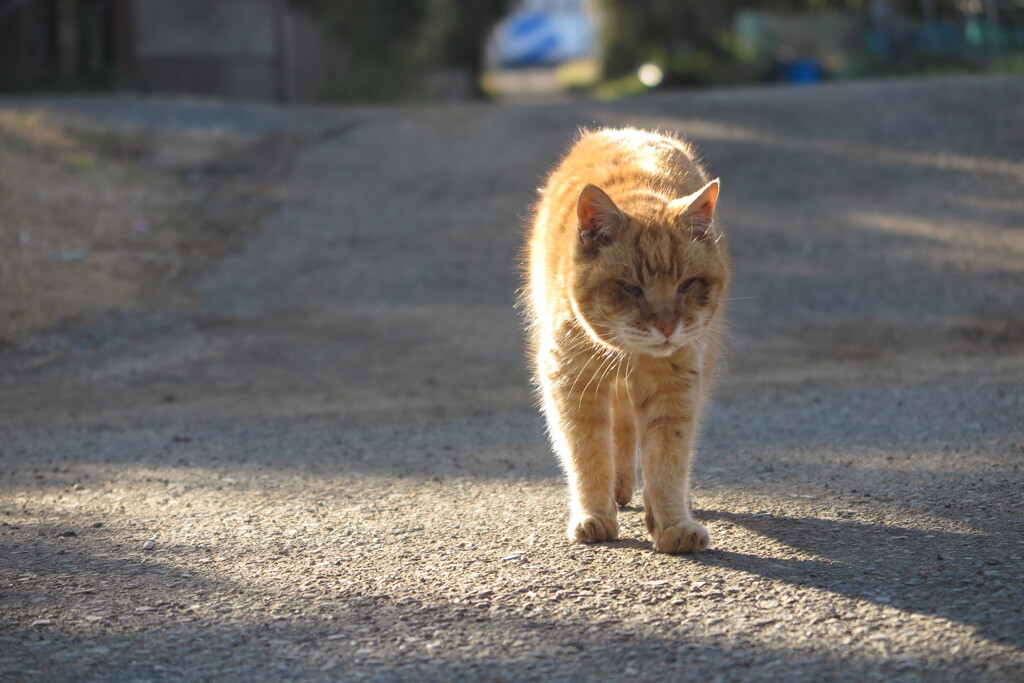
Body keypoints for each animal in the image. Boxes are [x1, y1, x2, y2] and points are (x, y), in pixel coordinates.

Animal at [528, 129, 729, 557]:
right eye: (631, 288)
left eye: (687, 284)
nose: (667, 324)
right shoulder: (573, 385)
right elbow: (588, 456)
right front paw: (594, 516)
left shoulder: (675, 389)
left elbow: (667, 462)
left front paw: (672, 524)